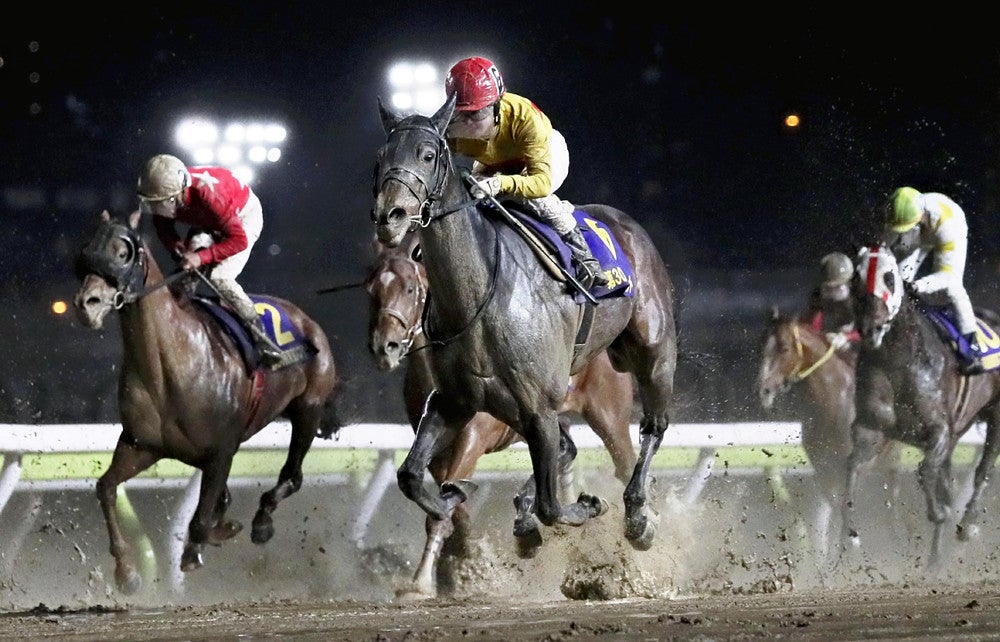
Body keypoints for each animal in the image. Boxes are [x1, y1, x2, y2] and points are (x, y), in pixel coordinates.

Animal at [72, 210, 341, 594]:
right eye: (86, 250)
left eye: (123, 252)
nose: (86, 304)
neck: (170, 367)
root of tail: (308, 321)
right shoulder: (141, 445)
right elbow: (106, 488)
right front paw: (126, 571)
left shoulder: (221, 452)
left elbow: (202, 514)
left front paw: (194, 551)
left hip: (308, 409)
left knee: (293, 475)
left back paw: (262, 520)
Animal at [364, 242, 637, 597]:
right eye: (371, 289)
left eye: (409, 287)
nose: (385, 347)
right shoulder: (438, 447)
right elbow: (449, 503)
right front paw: (457, 564)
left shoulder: (471, 441)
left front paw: (426, 580)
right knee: (565, 451)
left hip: (607, 415)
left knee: (624, 462)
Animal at [370, 94, 677, 554]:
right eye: (381, 157)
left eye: (427, 154)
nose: (390, 216)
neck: (481, 296)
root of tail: (626, 225)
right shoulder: (455, 402)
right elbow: (410, 476)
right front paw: (456, 497)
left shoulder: (537, 407)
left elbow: (553, 505)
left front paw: (585, 506)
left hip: (648, 357)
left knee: (648, 433)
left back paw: (638, 515)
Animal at [757, 306, 902, 561]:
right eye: (762, 344)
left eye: (784, 348)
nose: (764, 390)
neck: (836, 402)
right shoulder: (824, 466)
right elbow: (834, 508)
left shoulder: (856, 465)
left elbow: (846, 505)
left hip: (892, 457)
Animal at [843, 243, 1000, 570]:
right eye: (855, 278)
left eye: (889, 278)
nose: (872, 326)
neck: (897, 360)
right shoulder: (870, 428)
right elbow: (851, 466)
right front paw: (849, 536)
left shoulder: (939, 430)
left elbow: (926, 471)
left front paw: (939, 513)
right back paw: (935, 563)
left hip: (996, 416)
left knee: (983, 471)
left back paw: (966, 525)